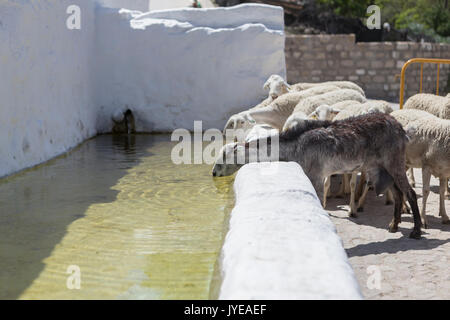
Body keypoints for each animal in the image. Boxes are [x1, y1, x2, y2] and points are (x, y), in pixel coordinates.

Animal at [214, 111, 422, 239]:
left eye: (224, 156)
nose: (214, 172)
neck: (296, 146)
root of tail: (400, 129)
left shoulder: (316, 177)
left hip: (394, 162)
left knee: (410, 193)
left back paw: (416, 231)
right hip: (383, 167)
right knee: (398, 194)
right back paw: (394, 226)